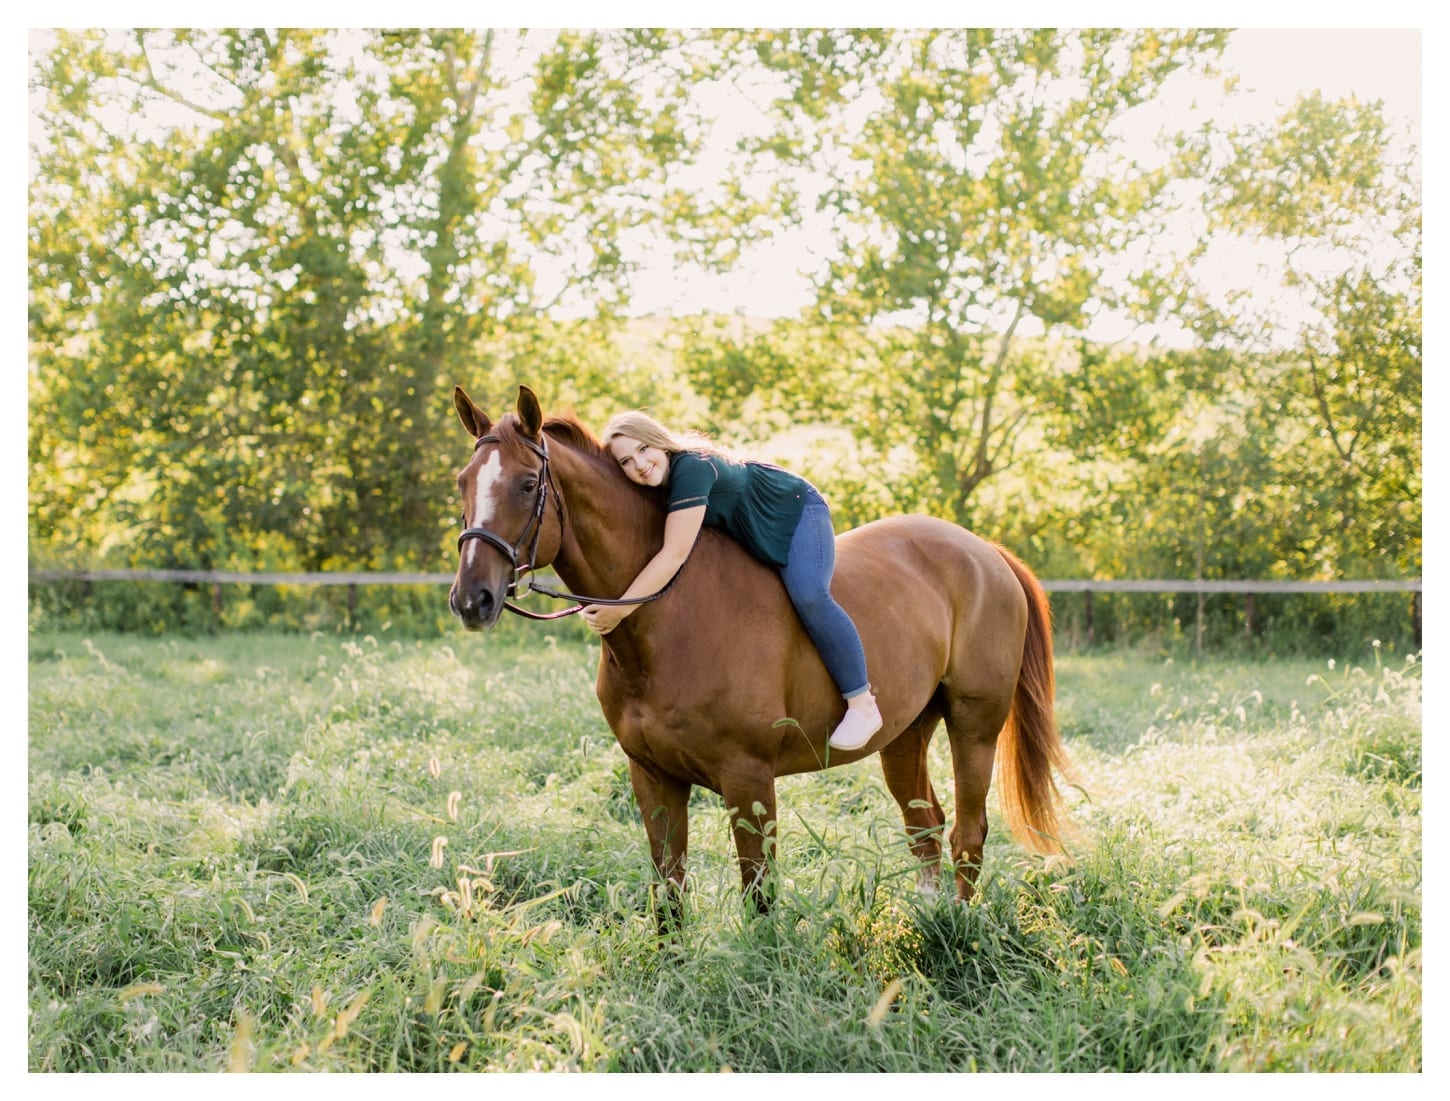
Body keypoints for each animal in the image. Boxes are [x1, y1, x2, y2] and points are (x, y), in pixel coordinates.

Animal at [446, 388, 1073, 922]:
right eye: (463, 481)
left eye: (528, 484)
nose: (472, 598)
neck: (668, 616)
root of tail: (984, 551)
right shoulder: (651, 777)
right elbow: (670, 894)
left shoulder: (748, 781)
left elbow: (760, 897)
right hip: (904, 736)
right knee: (925, 826)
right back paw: (926, 918)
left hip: (974, 727)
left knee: (969, 833)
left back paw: (956, 930)